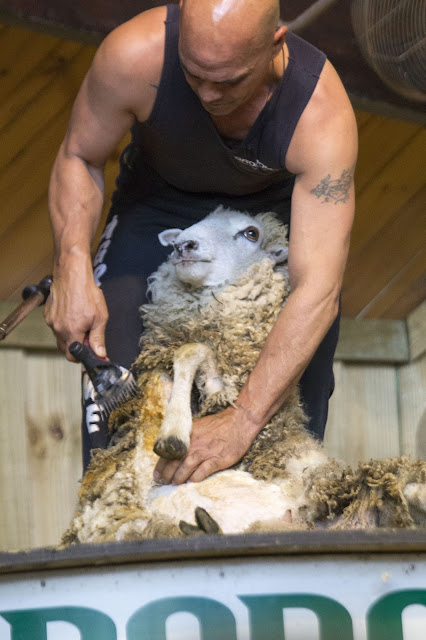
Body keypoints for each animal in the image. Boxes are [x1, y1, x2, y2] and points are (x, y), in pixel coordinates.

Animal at [62, 206, 426, 544]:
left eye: (250, 233)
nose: (183, 245)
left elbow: (190, 351)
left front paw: (174, 436)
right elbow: (185, 354)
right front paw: (175, 430)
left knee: (407, 488)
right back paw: (203, 529)